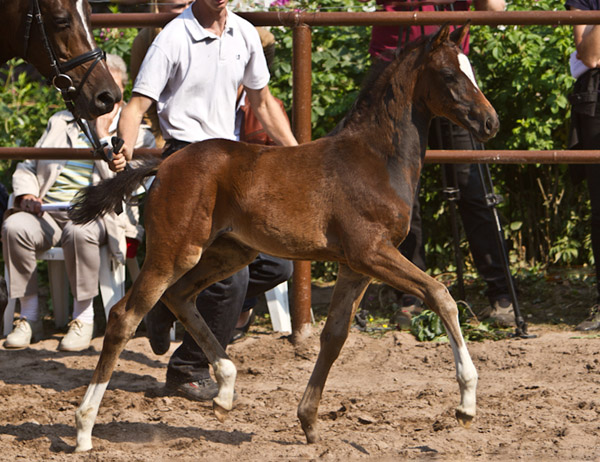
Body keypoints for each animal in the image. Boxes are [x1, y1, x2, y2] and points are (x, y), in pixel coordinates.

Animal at [69, 24, 502, 452]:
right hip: (175, 251)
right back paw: (84, 429)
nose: (490, 123)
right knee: (125, 316)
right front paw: (466, 404)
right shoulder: (372, 251)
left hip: (229, 252)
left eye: (470, 69)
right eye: (449, 75)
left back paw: (225, 390)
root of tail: (165, 163)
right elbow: (440, 295)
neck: (375, 158)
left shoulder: (356, 266)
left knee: (179, 296)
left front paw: (308, 420)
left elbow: (334, 336)